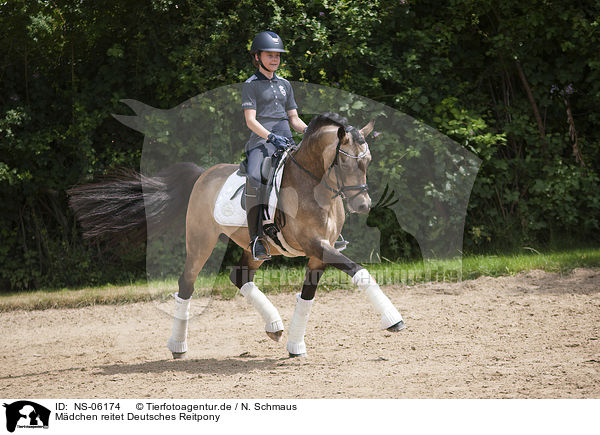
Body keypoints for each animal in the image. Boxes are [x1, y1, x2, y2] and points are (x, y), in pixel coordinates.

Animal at [69, 113, 408, 362]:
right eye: (345, 162)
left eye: (367, 162)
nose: (362, 205)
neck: (314, 185)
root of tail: (204, 174)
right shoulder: (315, 245)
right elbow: (359, 271)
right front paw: (393, 319)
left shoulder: (318, 252)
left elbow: (307, 297)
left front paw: (295, 346)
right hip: (201, 242)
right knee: (187, 284)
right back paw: (177, 346)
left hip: (256, 247)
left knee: (240, 275)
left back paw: (274, 326)